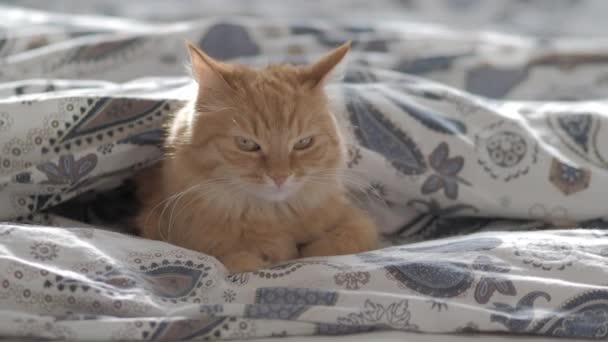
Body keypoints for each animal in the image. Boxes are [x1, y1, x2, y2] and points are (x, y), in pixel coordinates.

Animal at [135, 41, 378, 274]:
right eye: (247, 144)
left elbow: (349, 237)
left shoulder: (355, 220)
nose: (280, 177)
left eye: (303, 143)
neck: (272, 214)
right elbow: (241, 260)